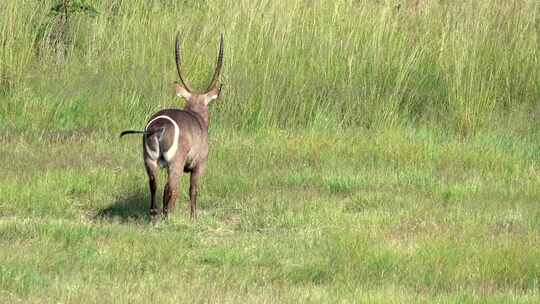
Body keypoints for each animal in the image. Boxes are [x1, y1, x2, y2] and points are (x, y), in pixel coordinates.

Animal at [121, 32, 224, 220]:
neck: (197, 116)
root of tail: (159, 126)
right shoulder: (200, 164)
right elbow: (193, 190)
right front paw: (193, 218)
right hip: (175, 163)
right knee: (170, 187)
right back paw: (168, 217)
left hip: (149, 160)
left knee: (154, 184)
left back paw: (154, 215)